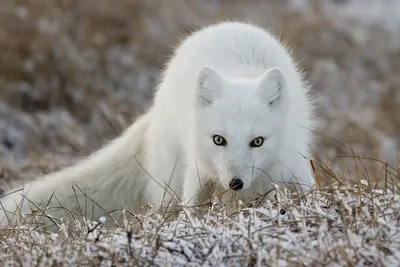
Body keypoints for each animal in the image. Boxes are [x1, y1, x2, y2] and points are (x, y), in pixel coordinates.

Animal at [0, 21, 318, 230]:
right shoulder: (199, 170)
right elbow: (192, 210)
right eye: (218, 140)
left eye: (258, 142)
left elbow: (308, 195)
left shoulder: (293, 165)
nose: (235, 182)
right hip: (172, 176)